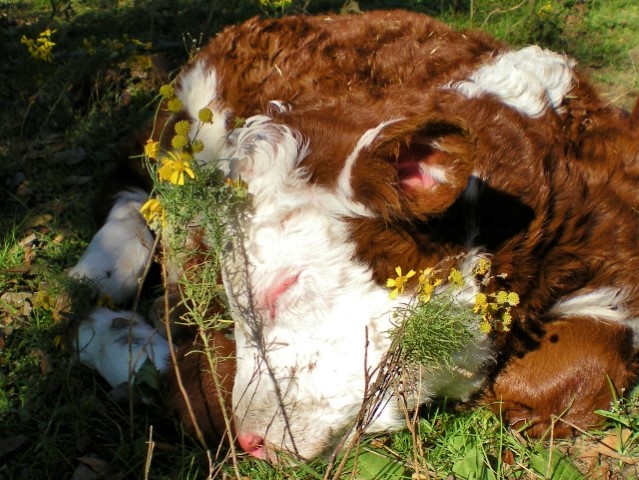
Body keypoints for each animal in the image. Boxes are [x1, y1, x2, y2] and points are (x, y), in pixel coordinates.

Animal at [70, 10, 639, 462]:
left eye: (284, 285)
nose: (253, 440)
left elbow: (581, 362)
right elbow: (201, 388)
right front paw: (114, 335)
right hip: (185, 127)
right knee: (132, 179)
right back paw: (99, 279)